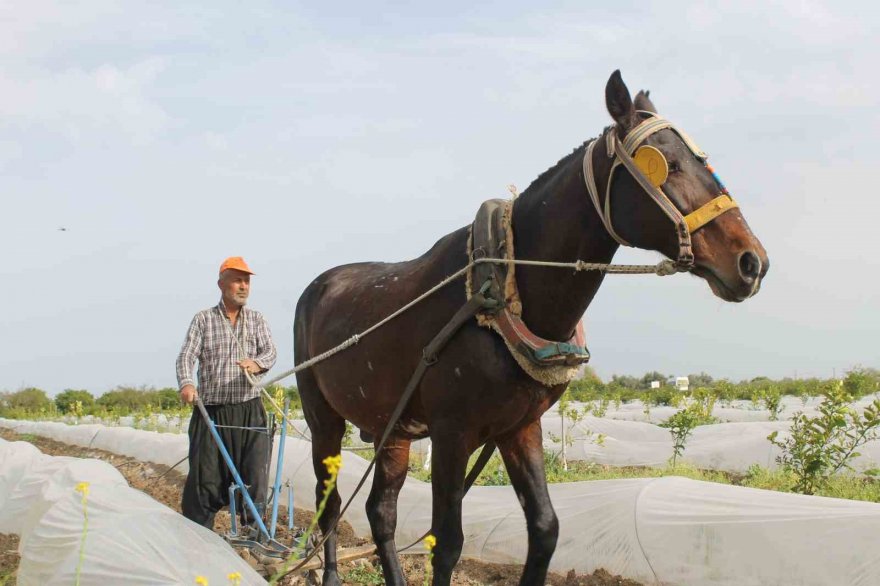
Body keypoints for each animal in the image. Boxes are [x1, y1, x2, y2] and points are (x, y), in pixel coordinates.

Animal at [292, 69, 768, 584]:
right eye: (669, 164)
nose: (751, 262)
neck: (504, 291)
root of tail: (319, 286)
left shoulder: (521, 427)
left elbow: (545, 529)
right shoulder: (451, 432)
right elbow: (447, 543)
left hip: (392, 427)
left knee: (381, 512)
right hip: (323, 417)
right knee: (330, 503)